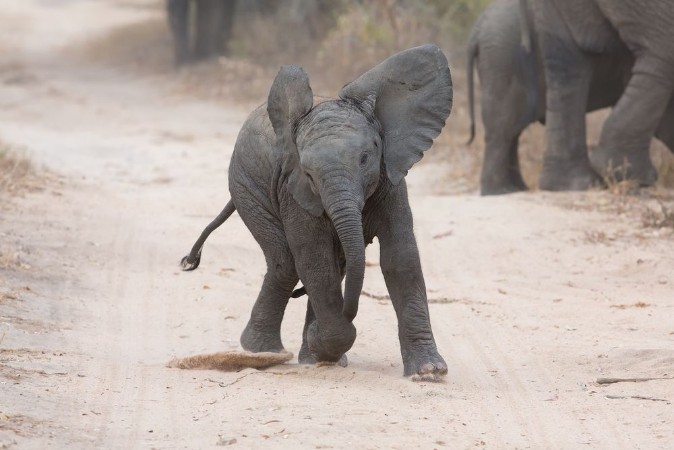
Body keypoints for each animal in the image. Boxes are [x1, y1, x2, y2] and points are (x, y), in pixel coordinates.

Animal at [180, 45, 453, 379]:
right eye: (308, 174)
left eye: (365, 158)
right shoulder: (294, 189)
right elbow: (315, 260)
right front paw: (322, 341)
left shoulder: (390, 179)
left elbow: (401, 258)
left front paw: (429, 372)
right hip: (246, 186)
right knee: (286, 263)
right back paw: (264, 350)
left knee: (332, 265)